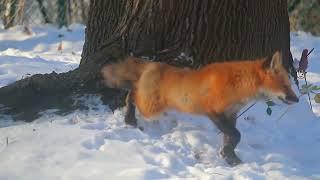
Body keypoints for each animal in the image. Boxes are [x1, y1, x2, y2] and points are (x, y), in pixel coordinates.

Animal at [101, 51, 298, 166]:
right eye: (285, 86)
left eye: (290, 86)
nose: (296, 99)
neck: (238, 85)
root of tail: (154, 64)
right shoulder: (214, 112)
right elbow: (236, 135)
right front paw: (228, 155)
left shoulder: (231, 114)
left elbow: (231, 138)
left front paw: (229, 157)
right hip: (151, 108)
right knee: (132, 95)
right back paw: (129, 118)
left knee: (132, 90)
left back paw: (129, 117)